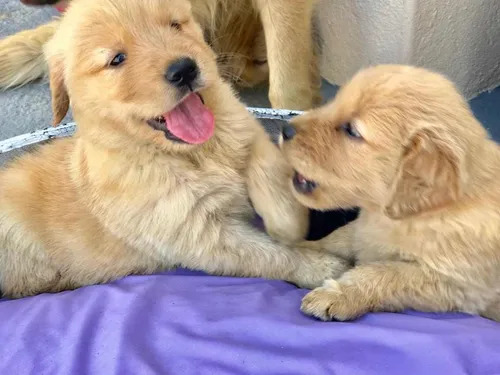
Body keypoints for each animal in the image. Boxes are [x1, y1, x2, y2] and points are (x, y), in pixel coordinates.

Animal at [280, 65, 500, 324]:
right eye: (335, 102)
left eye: (352, 131)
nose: (285, 129)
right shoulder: (363, 230)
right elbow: (338, 237)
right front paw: (302, 249)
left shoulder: (454, 284)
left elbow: (383, 272)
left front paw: (337, 294)